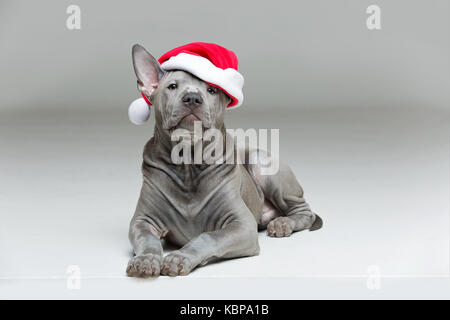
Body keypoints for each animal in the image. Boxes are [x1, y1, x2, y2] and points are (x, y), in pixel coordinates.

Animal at [126, 45, 324, 278]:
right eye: (172, 86)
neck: (188, 165)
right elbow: (147, 239)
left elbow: (207, 237)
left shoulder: (242, 225)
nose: (192, 98)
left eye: (212, 90)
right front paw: (146, 260)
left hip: (262, 163)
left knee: (304, 211)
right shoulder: (142, 221)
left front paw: (179, 257)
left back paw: (284, 222)